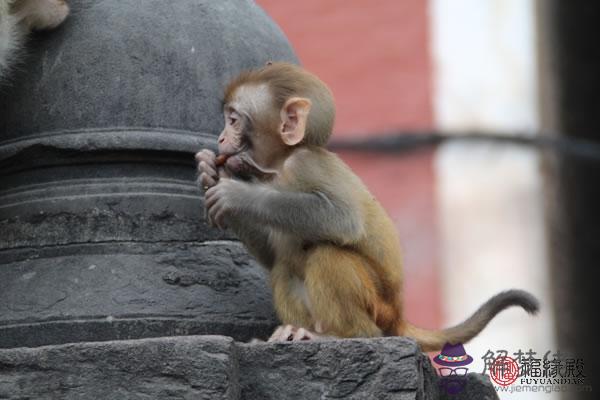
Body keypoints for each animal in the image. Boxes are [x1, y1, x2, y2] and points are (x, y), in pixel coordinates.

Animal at [197, 61, 540, 350]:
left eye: (233, 120)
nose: (221, 137)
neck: (278, 166)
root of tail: (398, 314)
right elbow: (272, 256)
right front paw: (209, 172)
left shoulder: (305, 164)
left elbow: (342, 218)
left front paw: (236, 194)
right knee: (284, 267)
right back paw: (295, 331)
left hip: (377, 307)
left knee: (327, 254)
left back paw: (343, 335)